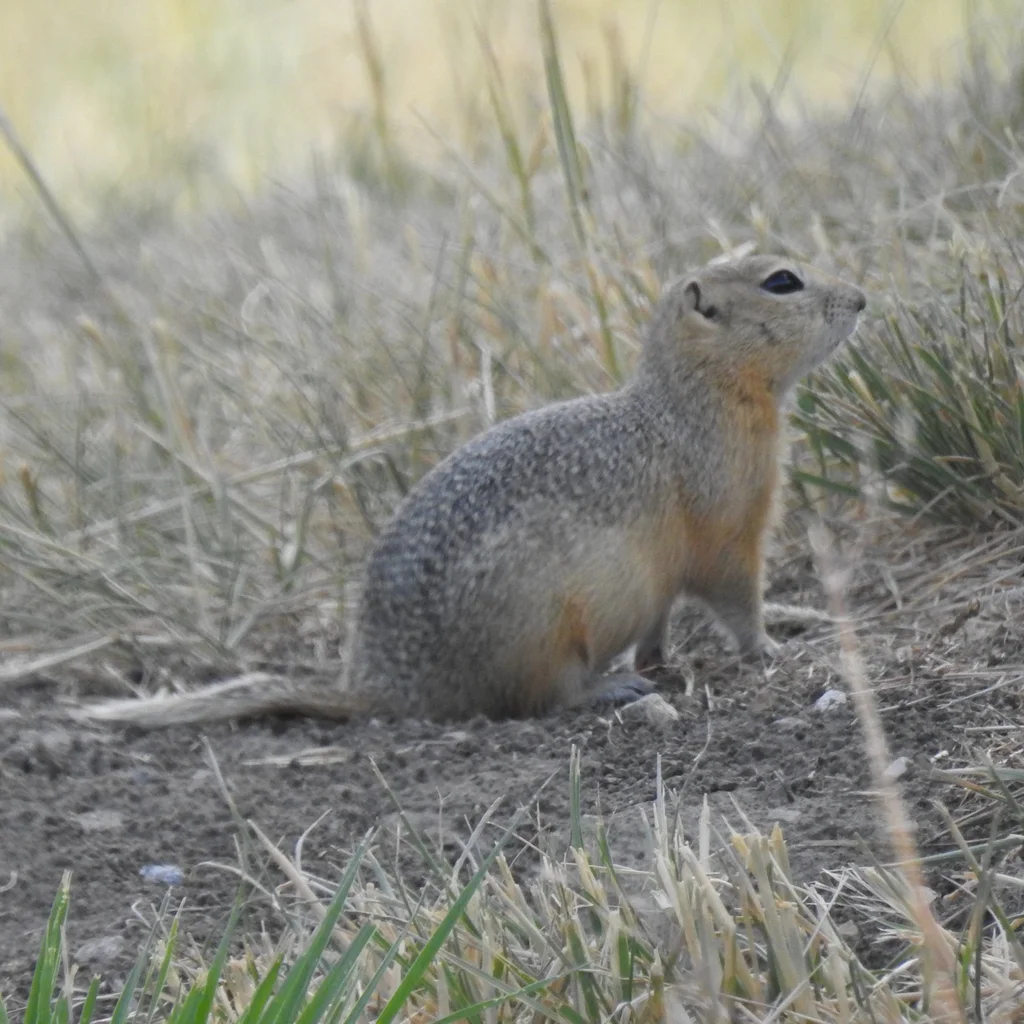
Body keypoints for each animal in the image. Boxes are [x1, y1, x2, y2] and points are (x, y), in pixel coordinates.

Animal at [79, 254, 866, 729]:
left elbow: (660, 620)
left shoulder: (666, 579)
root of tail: (385, 686)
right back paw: (609, 689)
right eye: (782, 282)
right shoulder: (731, 525)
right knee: (538, 698)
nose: (861, 296)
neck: (688, 402)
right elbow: (736, 596)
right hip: (540, 626)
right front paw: (774, 642)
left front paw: (667, 655)